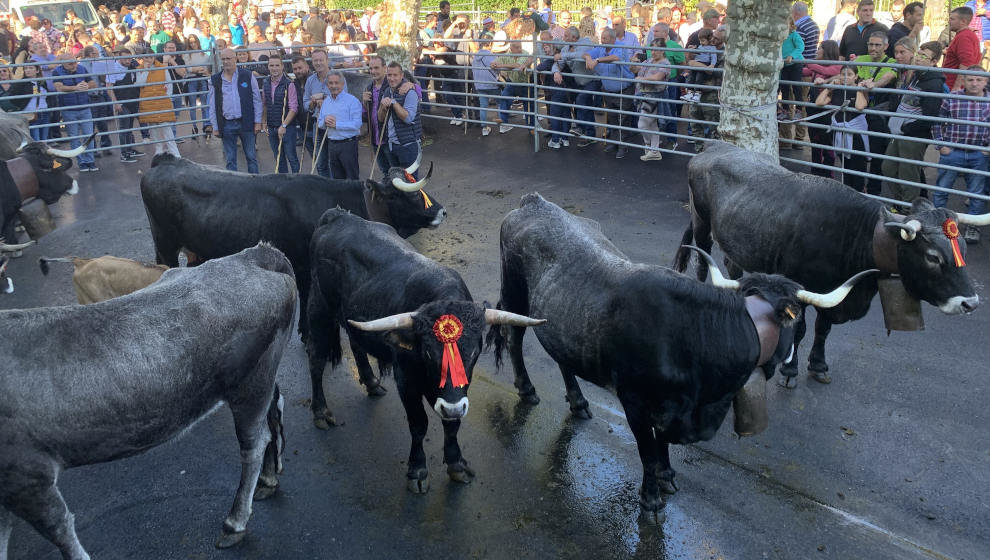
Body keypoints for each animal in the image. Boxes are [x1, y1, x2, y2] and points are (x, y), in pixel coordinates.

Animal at [0, 243, 298, 556]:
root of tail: (253, 255)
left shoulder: (26, 475)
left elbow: (60, 530)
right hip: (263, 375)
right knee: (274, 411)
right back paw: (269, 478)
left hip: (250, 384)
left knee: (254, 444)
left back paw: (234, 522)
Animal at [140, 154, 446, 342]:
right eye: (407, 195)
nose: (441, 212)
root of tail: (166, 160)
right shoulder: (302, 264)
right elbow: (305, 293)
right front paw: (306, 331)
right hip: (166, 244)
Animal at [488, 195, 876, 524]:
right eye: (792, 323)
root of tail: (534, 202)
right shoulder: (635, 403)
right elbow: (646, 449)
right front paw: (651, 500)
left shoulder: (671, 410)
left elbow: (661, 444)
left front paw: (666, 474)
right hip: (515, 292)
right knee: (514, 337)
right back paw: (526, 389)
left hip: (561, 319)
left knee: (562, 357)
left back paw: (579, 401)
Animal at [676, 142, 984, 384]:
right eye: (933, 257)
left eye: (963, 249)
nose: (970, 303)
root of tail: (714, 147)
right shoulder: (799, 288)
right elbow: (800, 330)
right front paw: (790, 370)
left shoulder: (834, 291)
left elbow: (823, 328)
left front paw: (818, 365)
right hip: (701, 223)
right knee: (702, 263)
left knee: (732, 264)